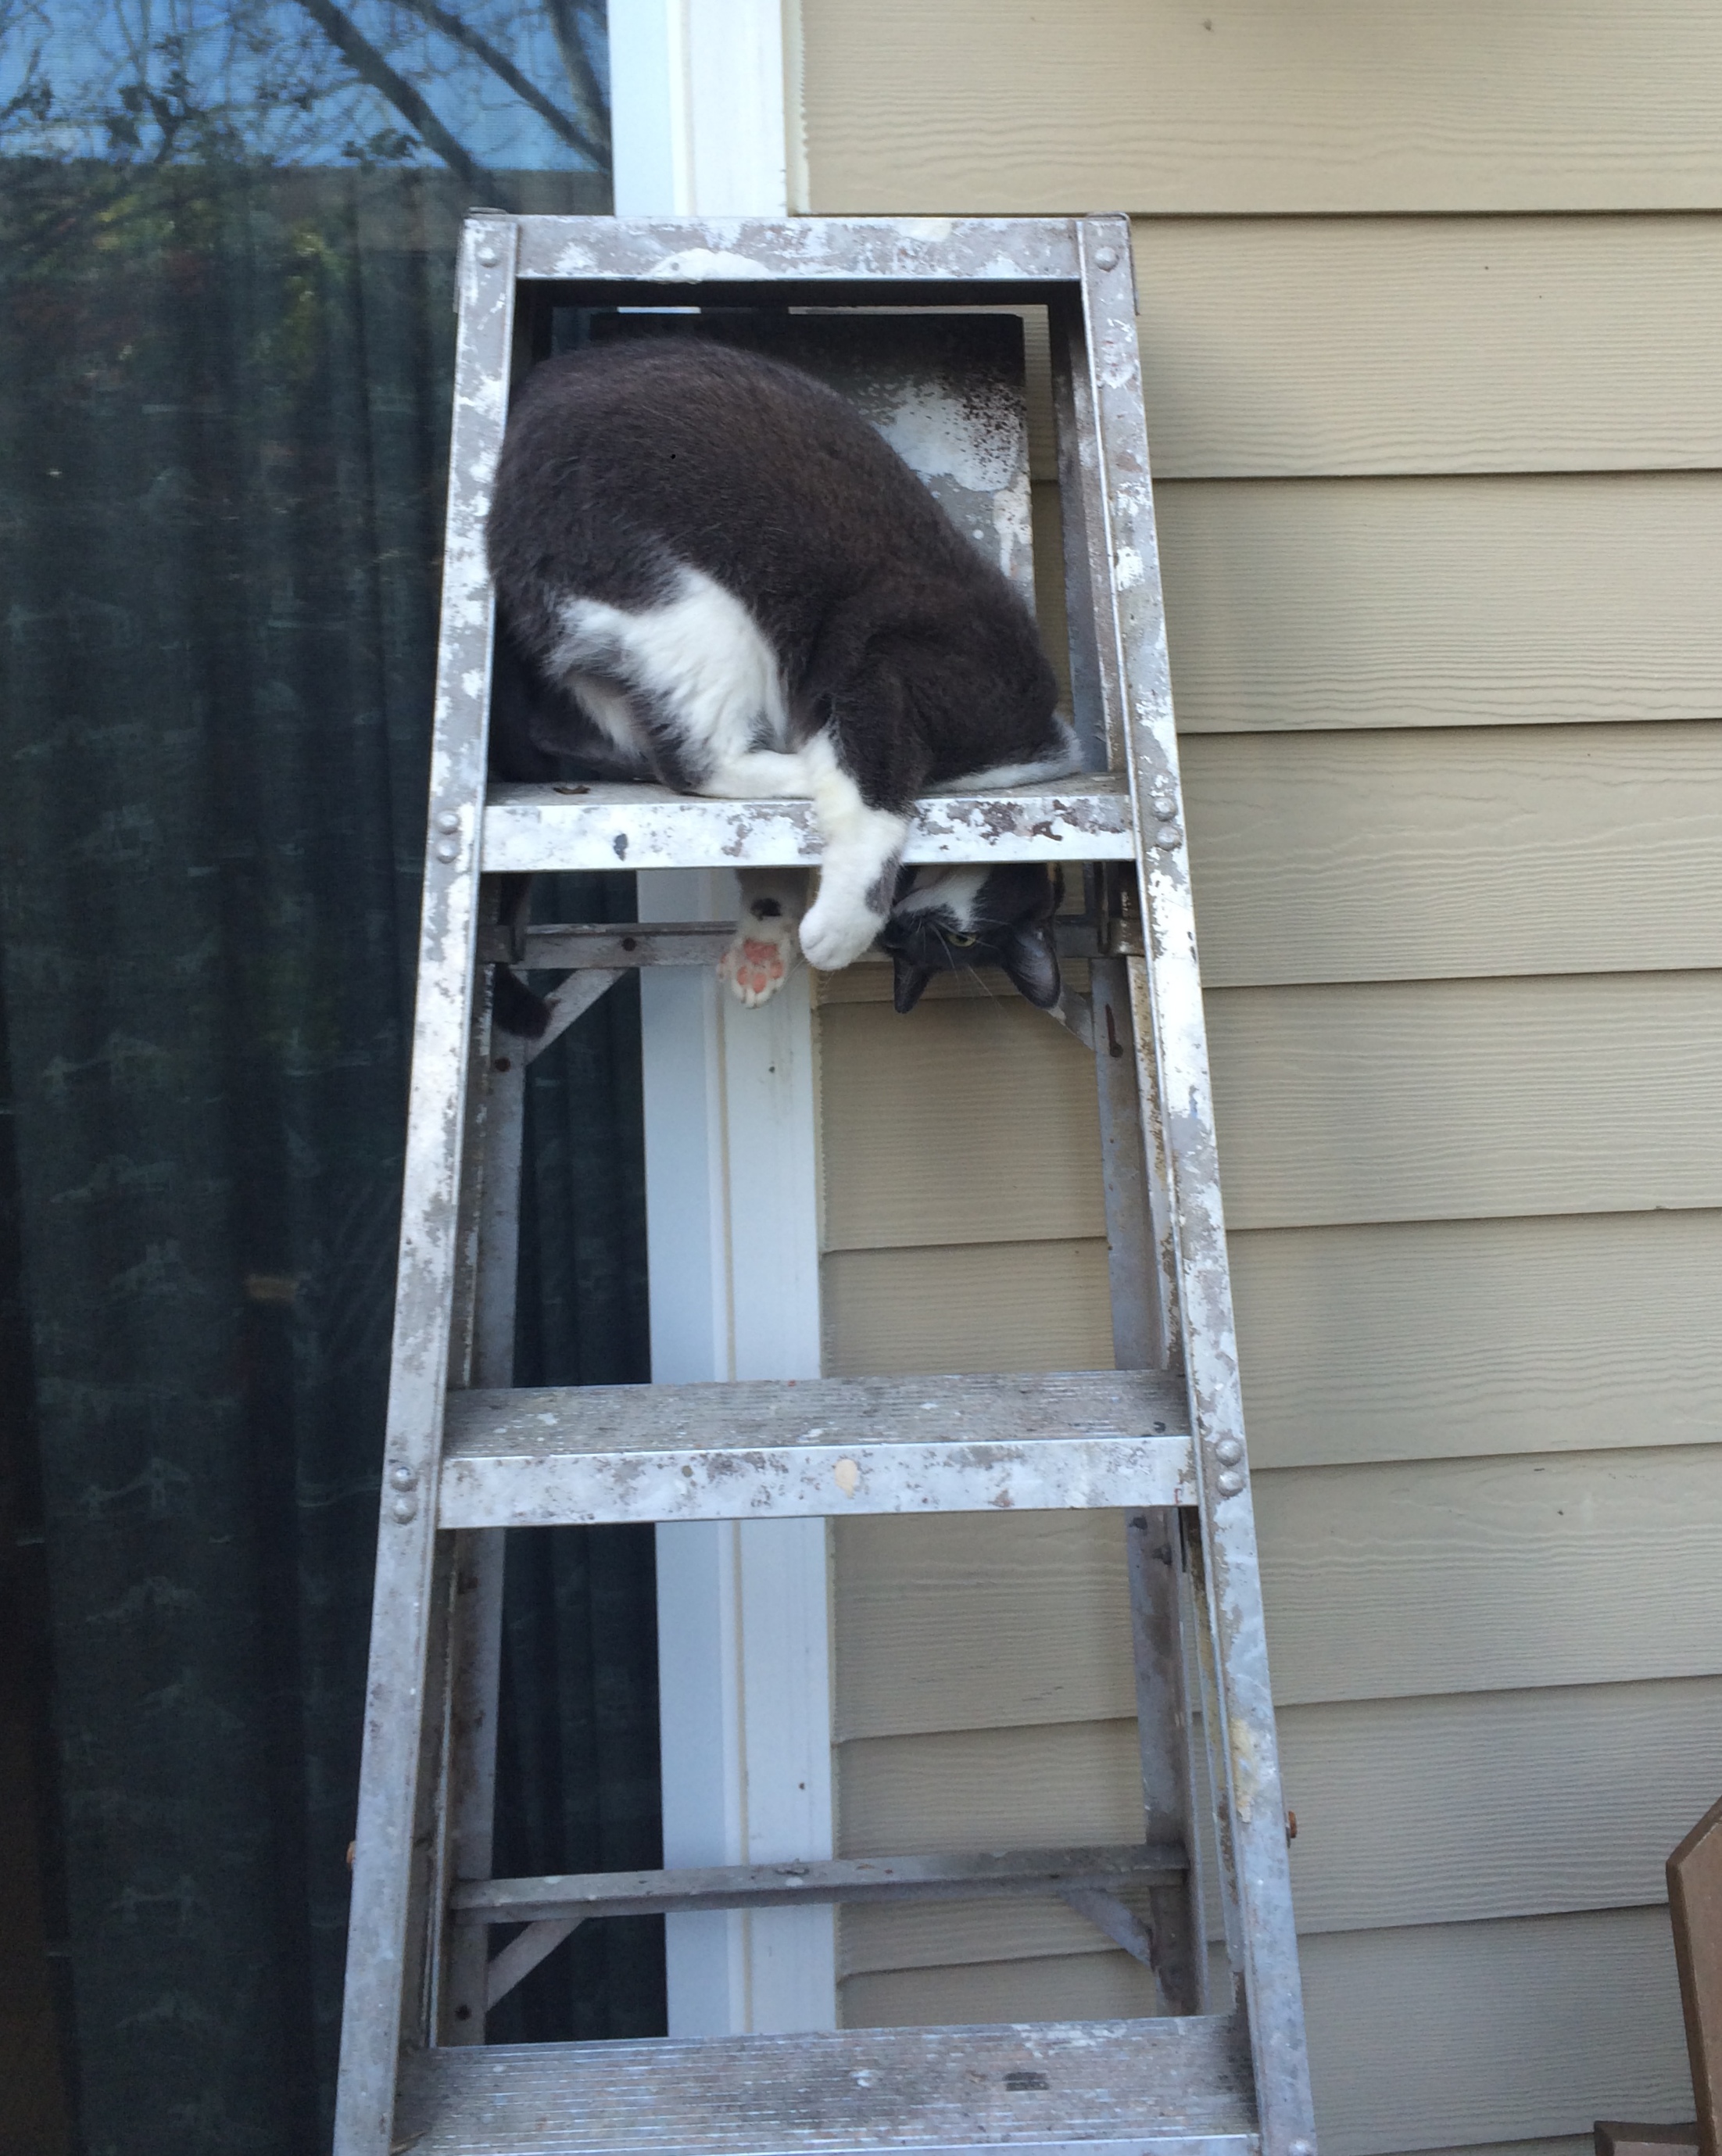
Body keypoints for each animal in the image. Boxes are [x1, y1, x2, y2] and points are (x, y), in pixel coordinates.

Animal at [484, 335, 1080, 1011]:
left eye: (961, 942)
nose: (901, 932)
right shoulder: (887, 663)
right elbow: (877, 797)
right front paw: (840, 928)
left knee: (575, 724)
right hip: (690, 606)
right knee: (698, 763)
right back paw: (800, 766)